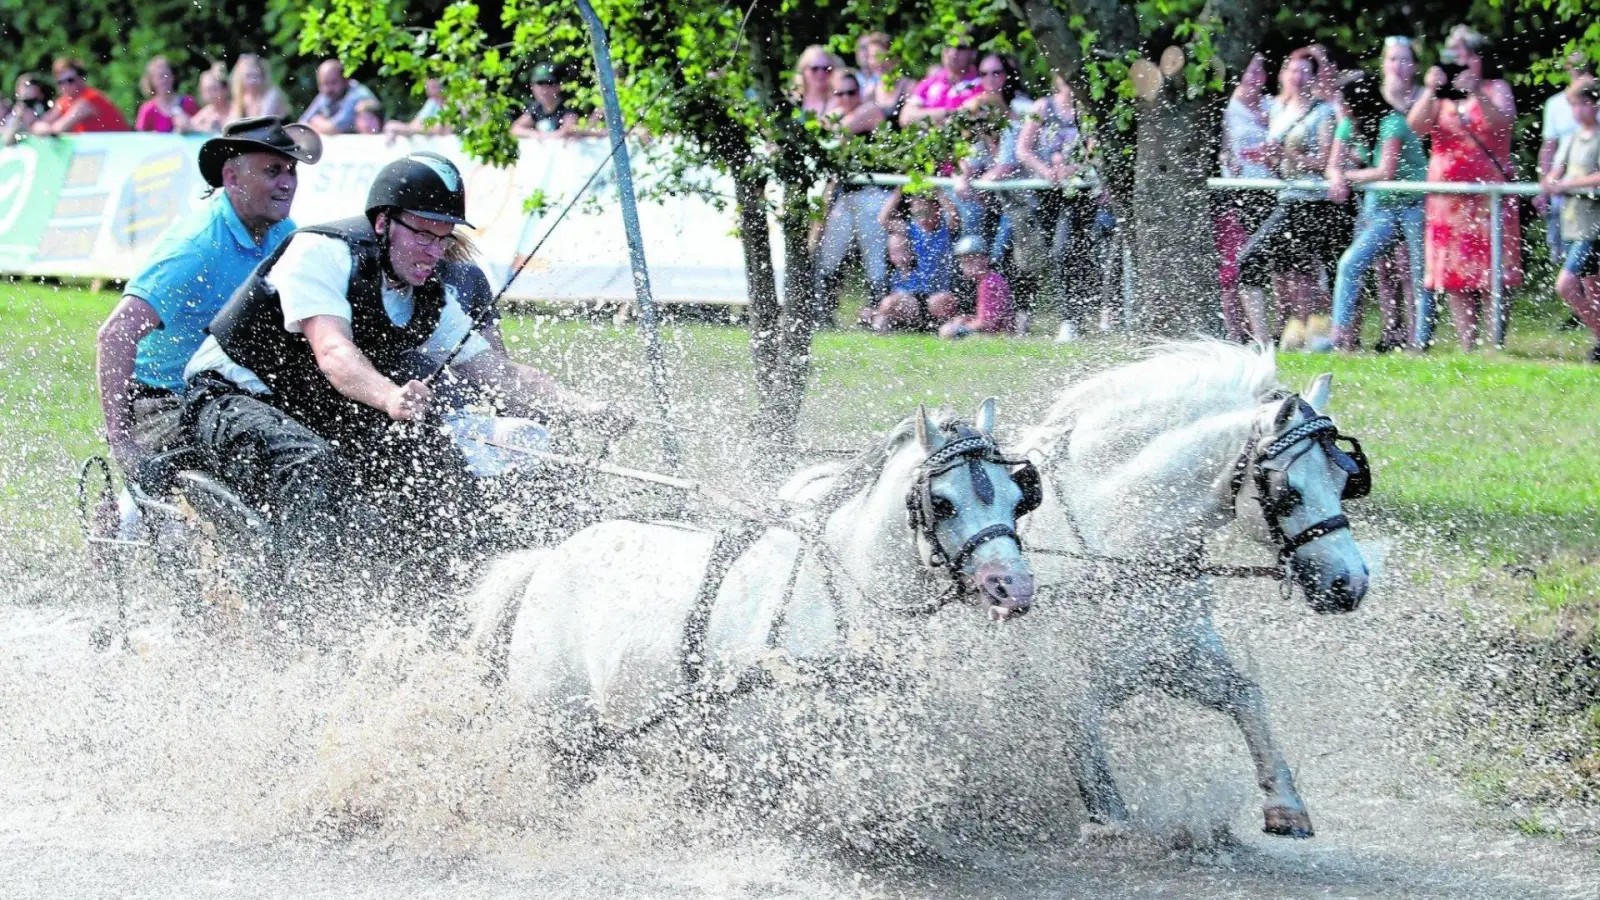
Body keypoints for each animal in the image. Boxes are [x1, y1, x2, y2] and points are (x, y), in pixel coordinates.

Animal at [467, 398, 1036, 749]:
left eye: (1019, 496)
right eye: (941, 502)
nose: (1013, 587)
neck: (837, 598)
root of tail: (548, 559)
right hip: (562, 731)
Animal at [1017, 339, 1369, 839]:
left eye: (1345, 481)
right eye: (1288, 492)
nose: (1350, 583)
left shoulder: (1176, 657)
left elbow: (1246, 695)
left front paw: (1285, 806)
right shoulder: (1066, 686)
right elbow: (1095, 774)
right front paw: (1109, 825)